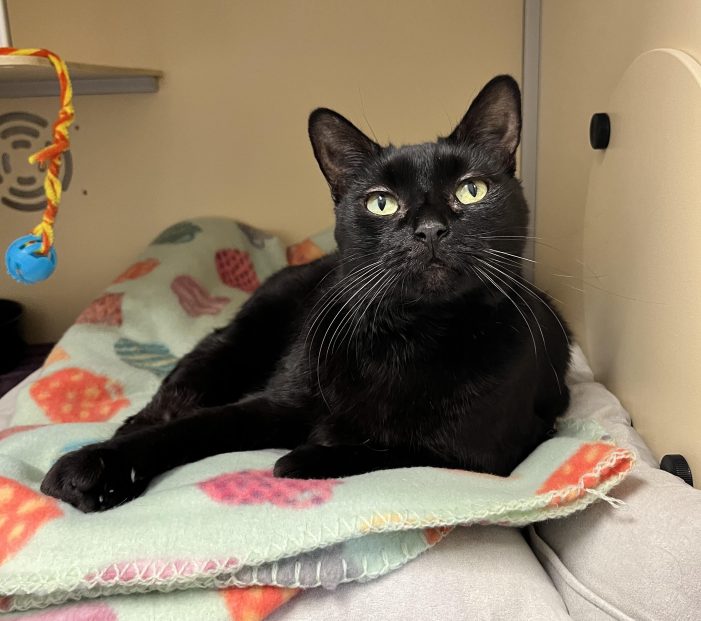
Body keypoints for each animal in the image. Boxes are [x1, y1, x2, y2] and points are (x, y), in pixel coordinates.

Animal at [41, 76, 568, 512]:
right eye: (381, 202)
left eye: (471, 190)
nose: (431, 229)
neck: (409, 338)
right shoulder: (273, 405)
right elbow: (195, 427)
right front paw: (95, 466)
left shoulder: (484, 455)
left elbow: (393, 447)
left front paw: (307, 456)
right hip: (238, 340)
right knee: (180, 391)